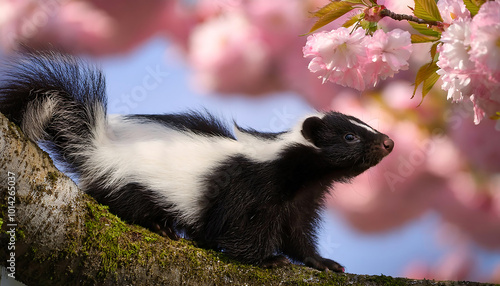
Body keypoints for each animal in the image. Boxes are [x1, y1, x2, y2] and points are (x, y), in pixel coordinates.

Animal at [0, 51, 394, 272]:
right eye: (350, 137)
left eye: (365, 127)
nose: (388, 142)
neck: (293, 173)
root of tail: (98, 145)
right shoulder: (251, 190)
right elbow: (241, 231)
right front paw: (267, 260)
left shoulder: (300, 201)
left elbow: (298, 237)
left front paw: (323, 262)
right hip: (128, 182)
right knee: (126, 204)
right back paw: (161, 226)